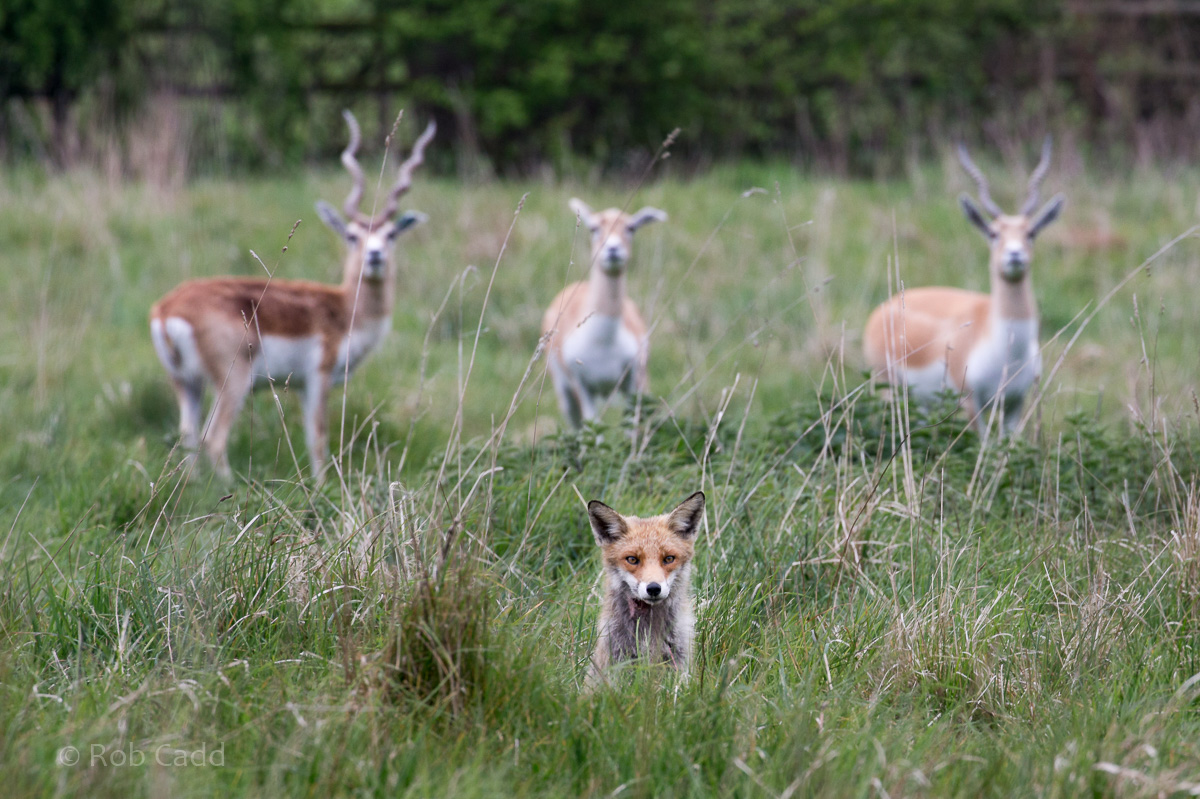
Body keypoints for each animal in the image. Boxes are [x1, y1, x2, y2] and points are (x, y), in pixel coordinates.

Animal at [585, 491, 706, 687]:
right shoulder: (617, 662)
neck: (648, 634)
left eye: (669, 558)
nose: (654, 588)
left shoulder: (680, 664)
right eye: (632, 559)